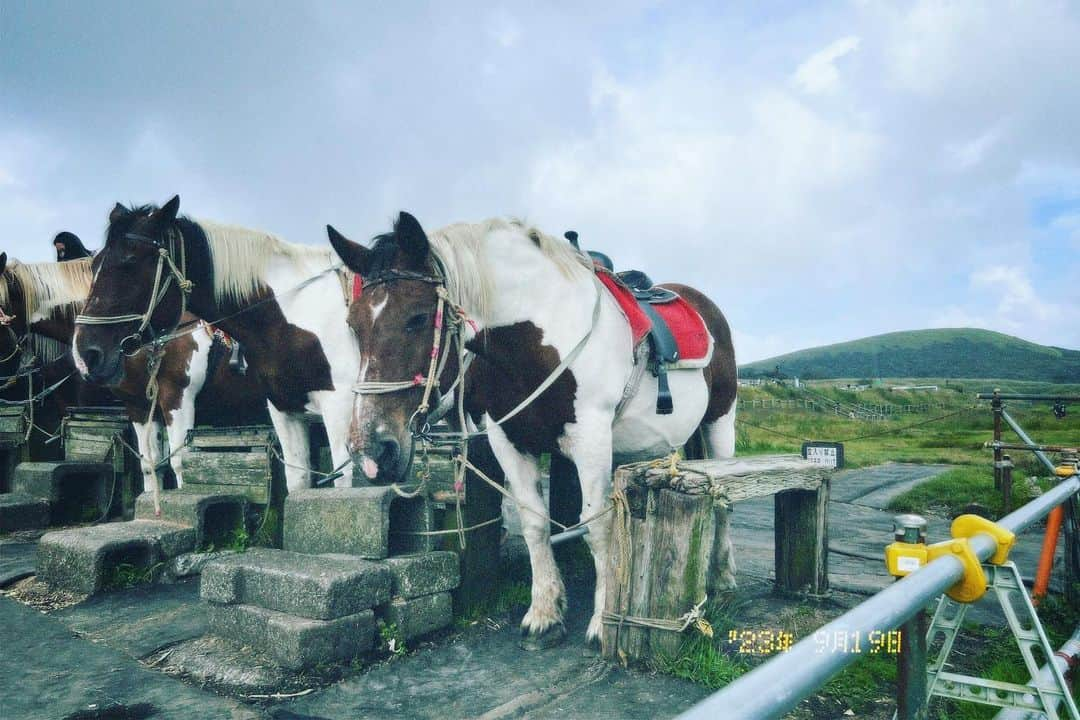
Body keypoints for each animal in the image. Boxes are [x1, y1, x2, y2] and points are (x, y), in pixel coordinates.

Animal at [73, 197, 358, 490]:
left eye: (130, 262)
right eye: (93, 266)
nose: (86, 353)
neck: (292, 314)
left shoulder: (340, 407)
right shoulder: (285, 410)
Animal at [324, 212, 738, 647]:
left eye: (418, 317)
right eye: (353, 325)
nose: (371, 451)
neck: (537, 341)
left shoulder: (591, 439)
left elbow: (598, 526)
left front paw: (601, 622)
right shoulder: (509, 440)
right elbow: (535, 523)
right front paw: (544, 614)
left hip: (720, 423)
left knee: (724, 499)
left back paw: (722, 577)